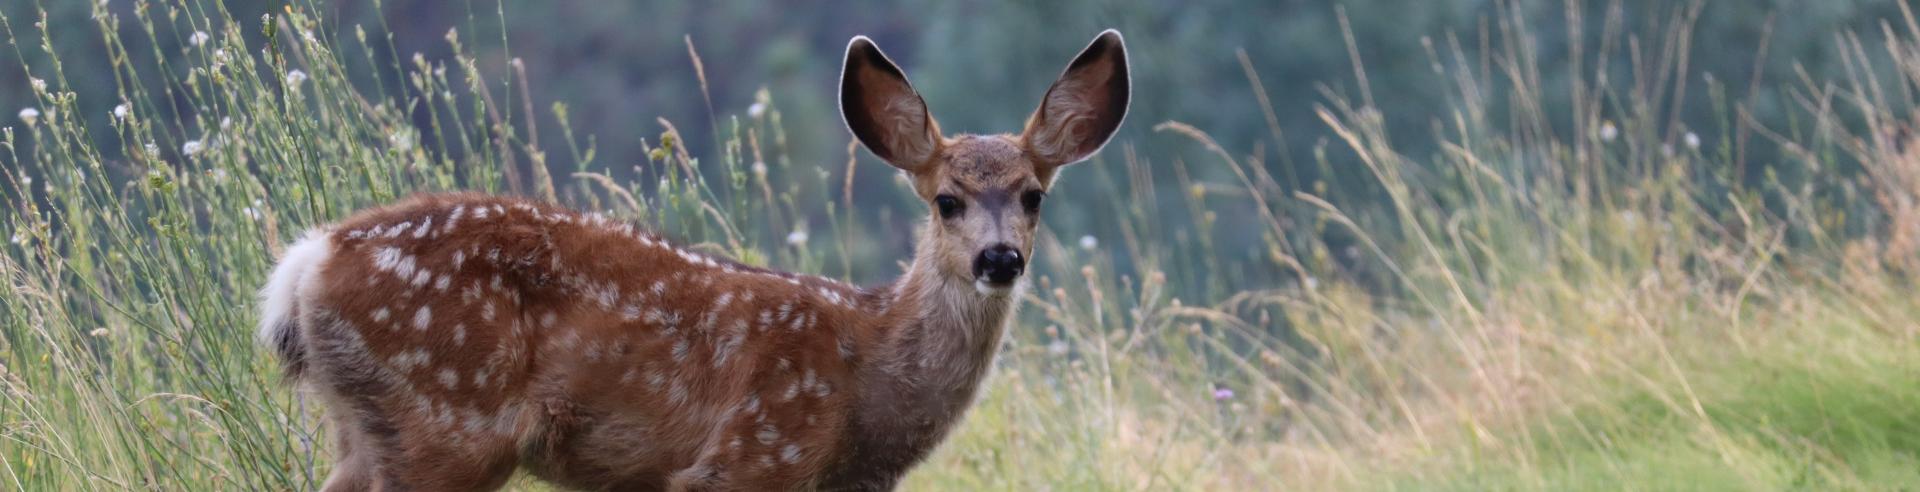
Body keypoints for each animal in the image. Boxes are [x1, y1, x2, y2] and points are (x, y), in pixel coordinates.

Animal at [257, 29, 1129, 491]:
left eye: (1033, 196)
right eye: (946, 199)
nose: (999, 259)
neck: (866, 378)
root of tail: (306, 262)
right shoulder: (751, 453)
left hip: (367, 425)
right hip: (445, 416)